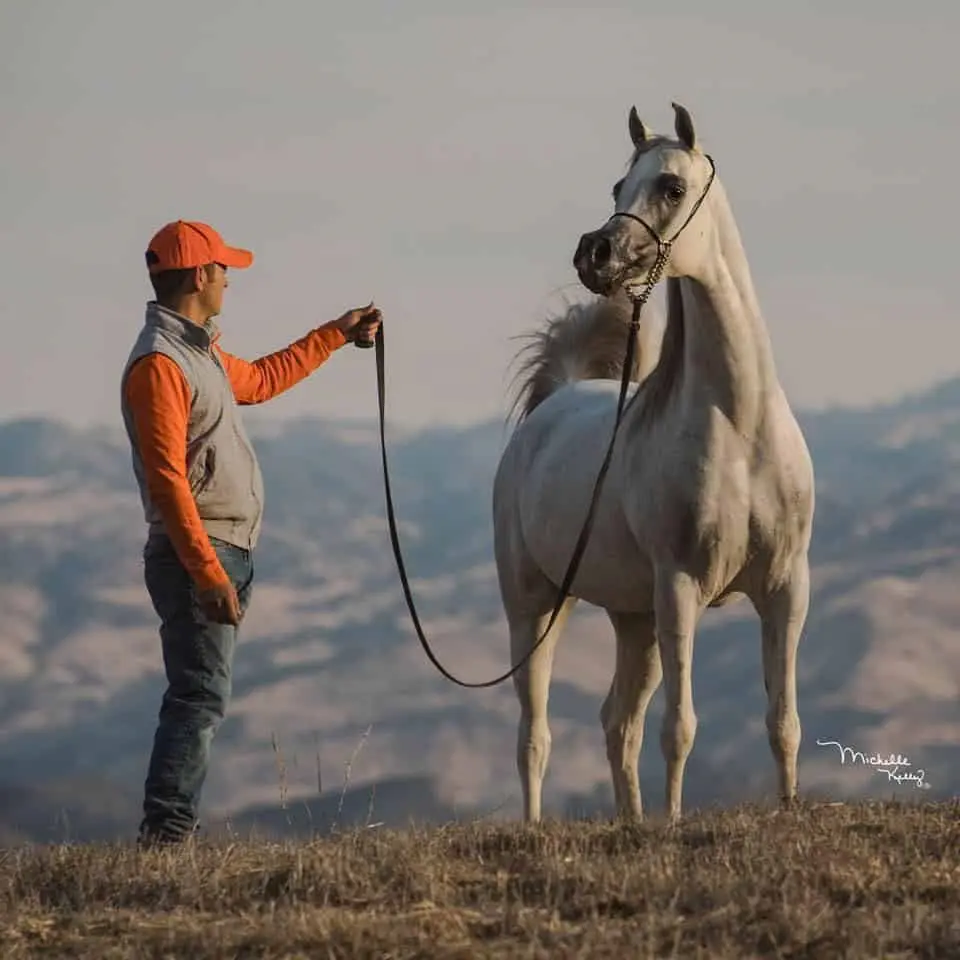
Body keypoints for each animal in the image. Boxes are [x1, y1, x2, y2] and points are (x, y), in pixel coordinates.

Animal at [496, 105, 816, 824]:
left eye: (671, 186)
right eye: (619, 185)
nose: (595, 254)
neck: (740, 428)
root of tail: (554, 404)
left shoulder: (787, 587)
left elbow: (783, 720)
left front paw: (787, 810)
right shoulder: (680, 590)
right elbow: (681, 725)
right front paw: (673, 823)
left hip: (632, 620)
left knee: (618, 722)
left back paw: (631, 820)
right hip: (536, 608)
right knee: (535, 734)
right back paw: (536, 826)